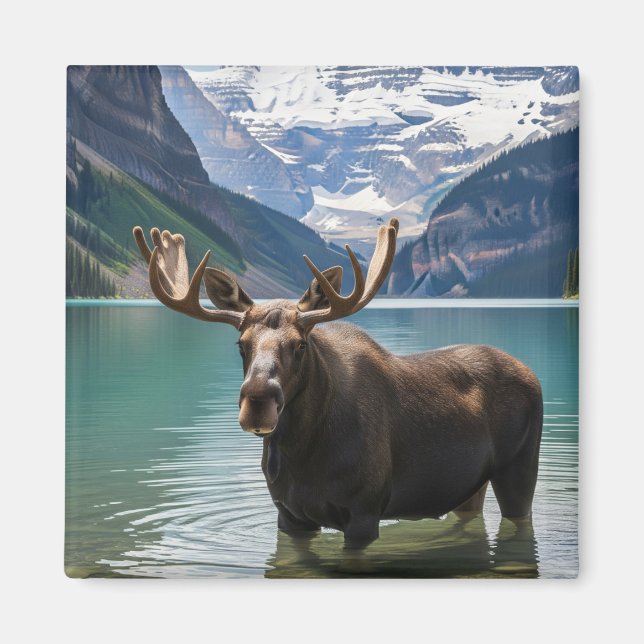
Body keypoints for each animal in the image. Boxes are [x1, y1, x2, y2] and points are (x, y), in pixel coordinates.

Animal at [132, 219, 543, 554]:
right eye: (241, 344)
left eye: (300, 344)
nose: (257, 402)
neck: (301, 453)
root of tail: (533, 374)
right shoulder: (289, 516)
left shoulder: (364, 512)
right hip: (470, 485)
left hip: (520, 468)